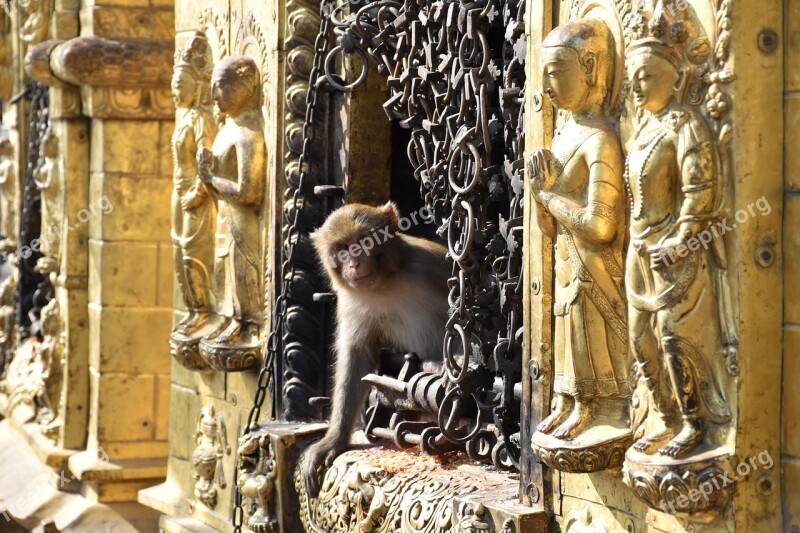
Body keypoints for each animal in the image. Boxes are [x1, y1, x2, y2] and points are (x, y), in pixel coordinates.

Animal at [300, 202, 450, 496]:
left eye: (363, 242)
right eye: (342, 248)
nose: (354, 263)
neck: (384, 284)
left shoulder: (429, 265)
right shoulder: (350, 301)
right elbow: (357, 357)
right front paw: (334, 440)